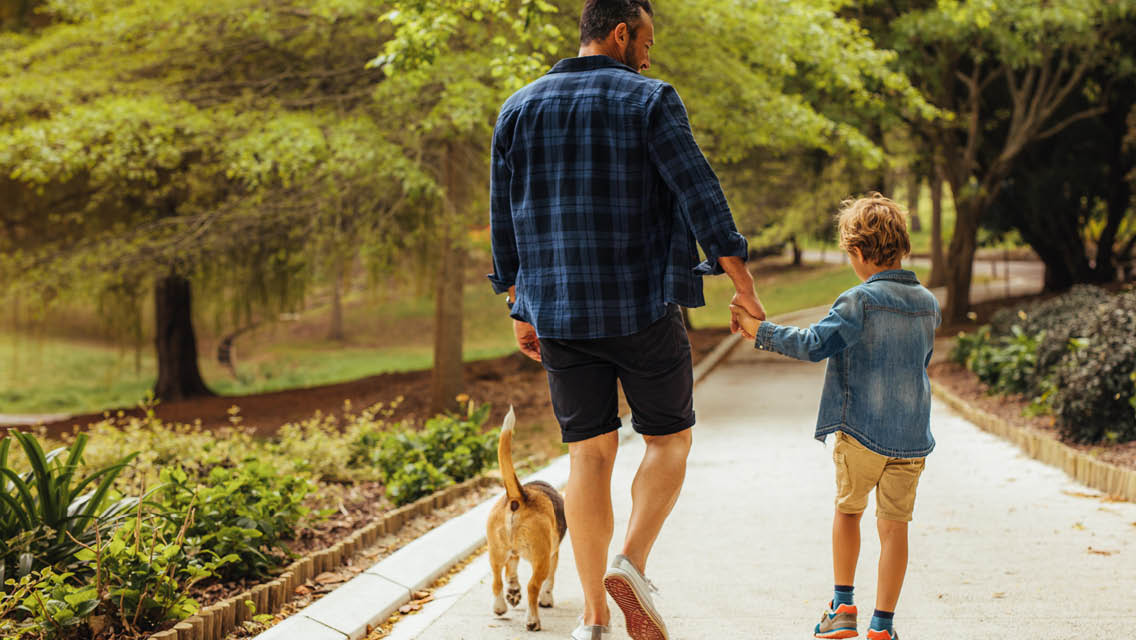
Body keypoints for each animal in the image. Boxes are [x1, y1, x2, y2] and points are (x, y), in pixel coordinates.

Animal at [486, 404, 565, 632]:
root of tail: (519, 496)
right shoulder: (553, 555)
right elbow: (549, 582)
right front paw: (547, 600)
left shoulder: (512, 555)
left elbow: (510, 574)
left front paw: (513, 592)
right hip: (541, 559)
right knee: (532, 587)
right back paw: (532, 621)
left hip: (496, 552)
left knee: (497, 581)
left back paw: (501, 607)